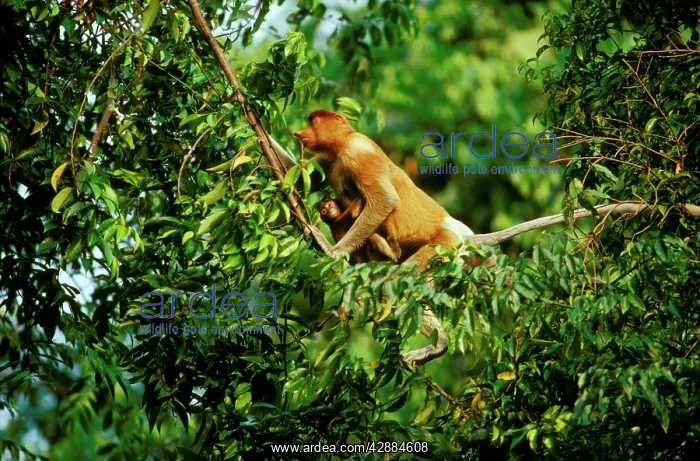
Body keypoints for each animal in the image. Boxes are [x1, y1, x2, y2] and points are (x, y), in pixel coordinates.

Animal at [265, 109, 475, 367]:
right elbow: (291, 174)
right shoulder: (327, 159)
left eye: (312, 121)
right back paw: (439, 345)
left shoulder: (358, 152)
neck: (342, 145)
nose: (299, 133)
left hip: (443, 245)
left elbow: (385, 199)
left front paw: (331, 250)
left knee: (396, 282)